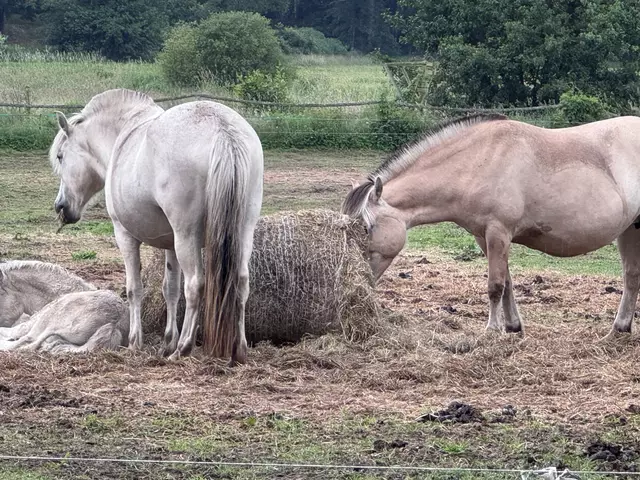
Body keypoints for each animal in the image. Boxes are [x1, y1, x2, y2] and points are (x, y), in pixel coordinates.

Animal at [49, 89, 264, 364]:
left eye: (60, 156)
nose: (61, 207)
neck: (123, 135)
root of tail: (222, 129)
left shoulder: (125, 236)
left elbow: (134, 289)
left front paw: (135, 343)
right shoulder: (170, 245)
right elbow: (170, 290)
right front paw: (166, 342)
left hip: (187, 236)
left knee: (195, 285)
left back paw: (184, 348)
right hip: (242, 232)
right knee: (241, 281)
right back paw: (238, 350)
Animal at [343, 114, 640, 337]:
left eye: (366, 228)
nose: (358, 279)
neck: (479, 160)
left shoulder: (499, 232)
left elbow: (495, 285)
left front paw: (491, 330)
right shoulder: (483, 237)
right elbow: (506, 282)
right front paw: (512, 327)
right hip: (629, 231)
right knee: (631, 277)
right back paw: (619, 328)